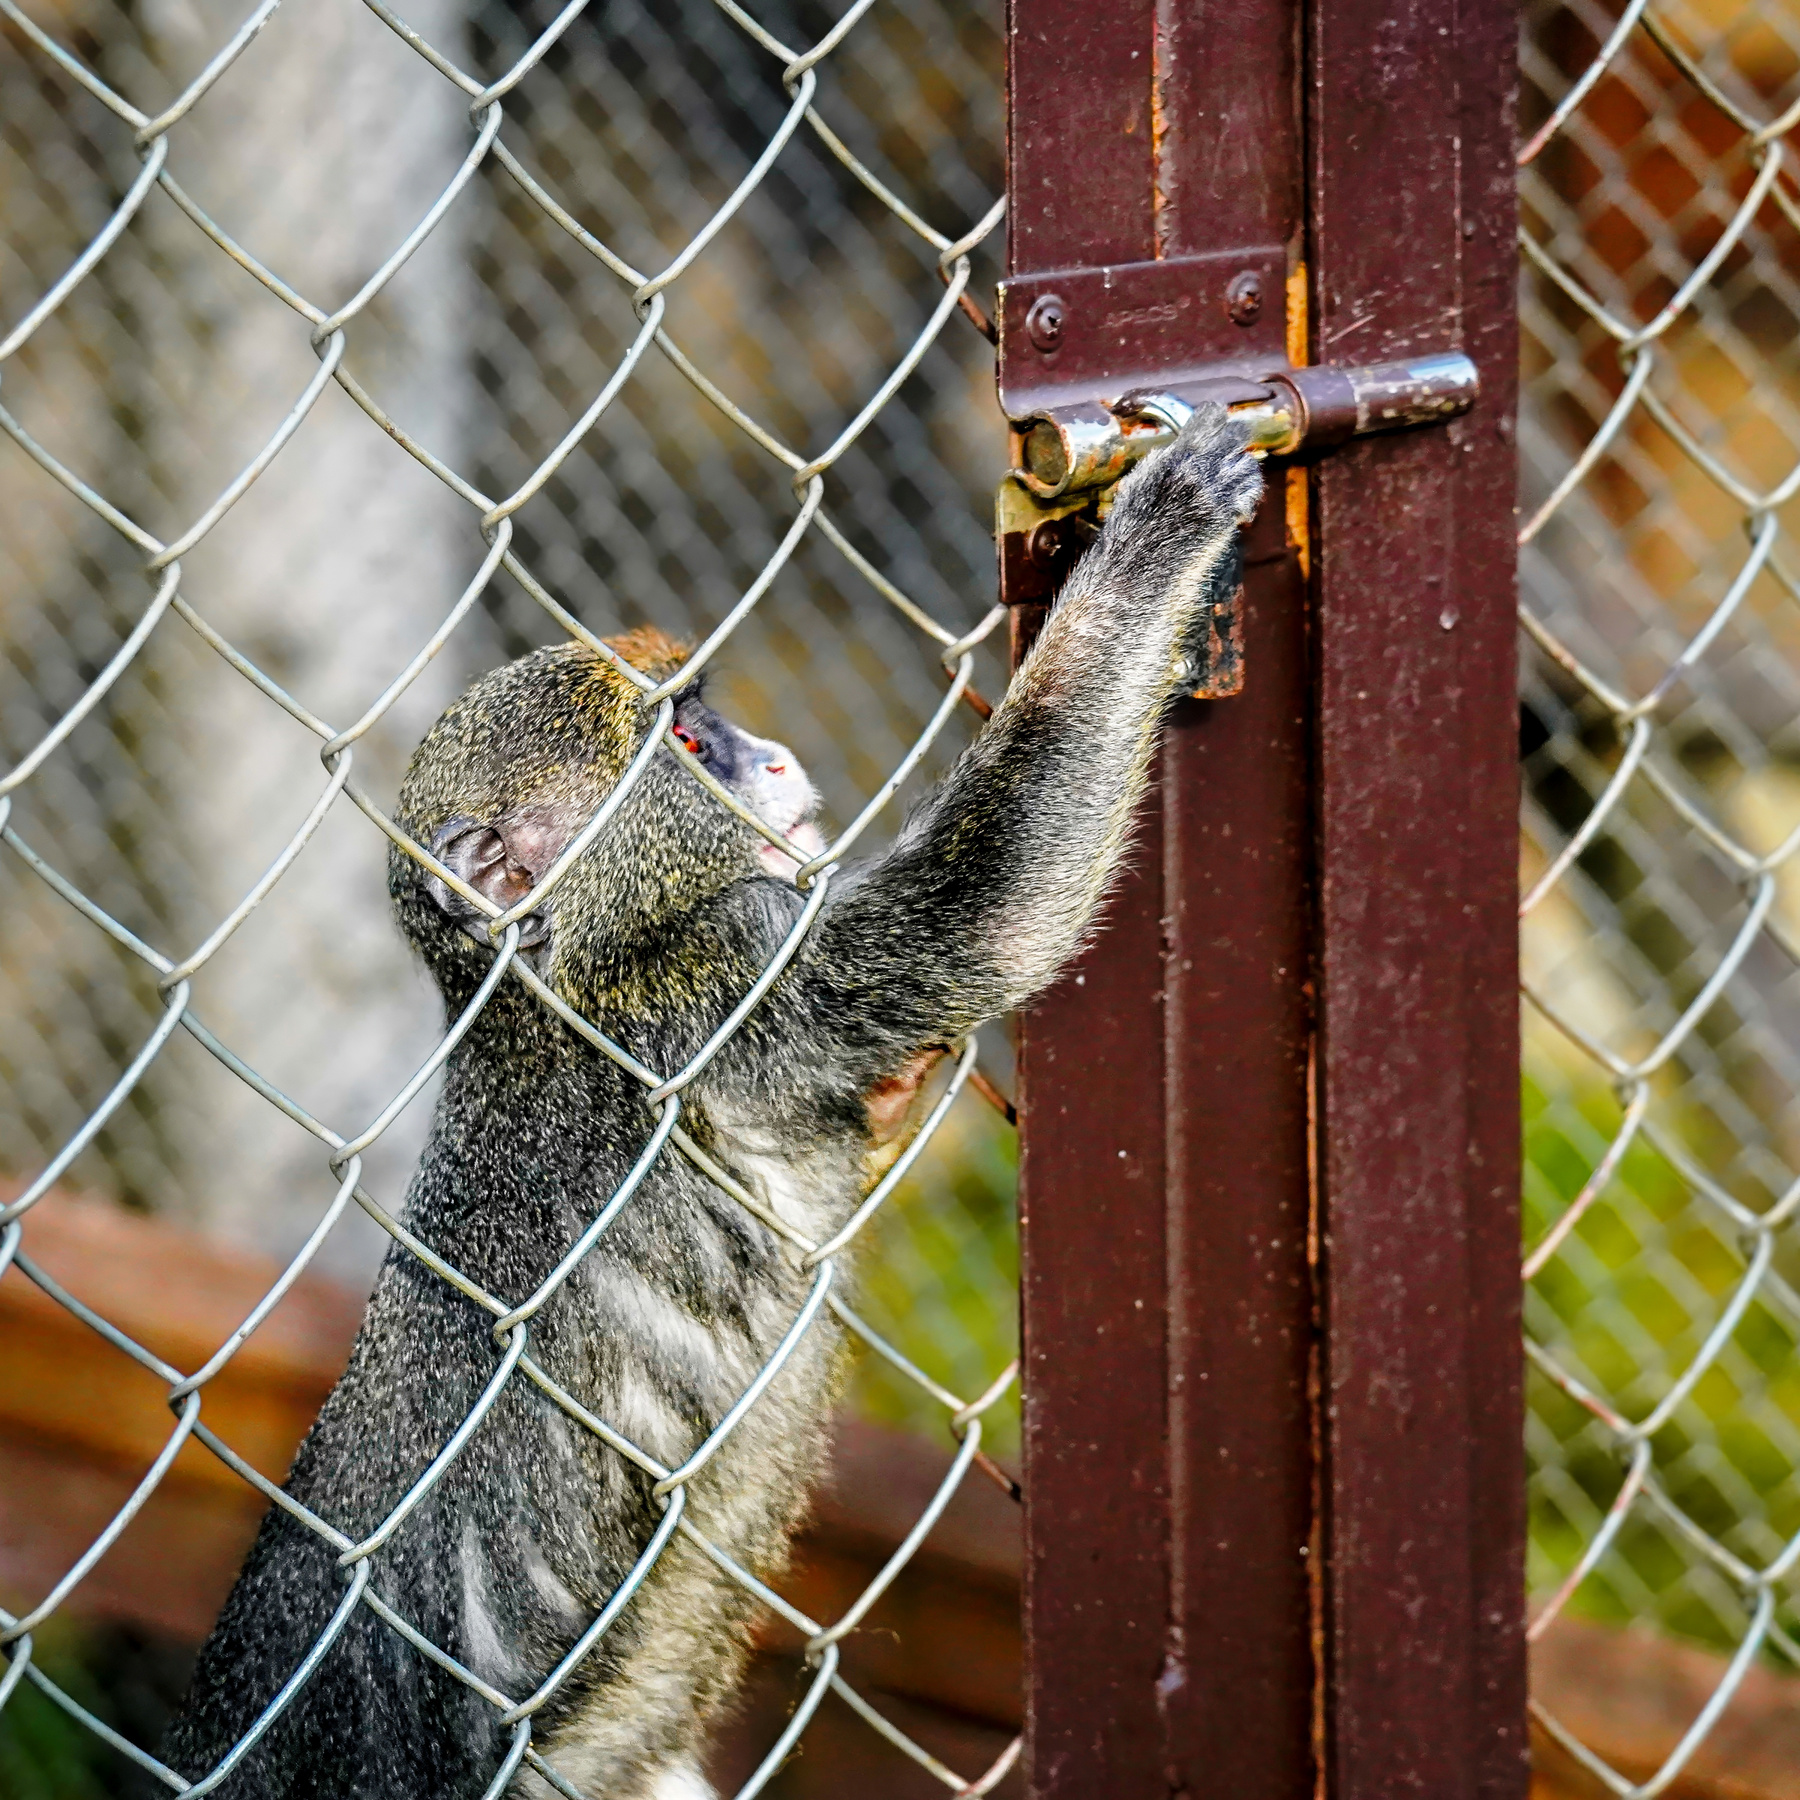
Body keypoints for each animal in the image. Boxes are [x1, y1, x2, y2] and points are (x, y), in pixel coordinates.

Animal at [159, 405, 1262, 1799]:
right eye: (688, 746)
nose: (776, 758)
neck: (553, 980)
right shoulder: (722, 980)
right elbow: (996, 903)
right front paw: (1159, 536)